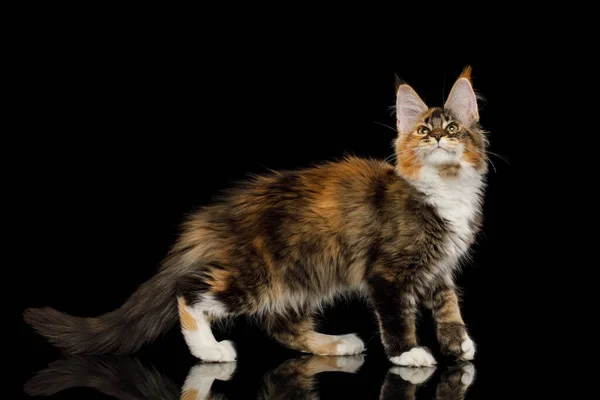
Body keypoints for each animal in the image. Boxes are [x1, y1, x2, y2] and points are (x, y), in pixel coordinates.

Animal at [23, 67, 488, 368]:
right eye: (423, 132)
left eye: (453, 130)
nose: (439, 139)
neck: (443, 191)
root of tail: (212, 218)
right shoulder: (388, 273)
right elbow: (396, 316)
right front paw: (408, 354)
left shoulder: (438, 269)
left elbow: (448, 307)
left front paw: (460, 345)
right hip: (260, 276)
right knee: (188, 291)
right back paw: (209, 350)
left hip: (304, 277)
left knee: (281, 326)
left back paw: (335, 345)